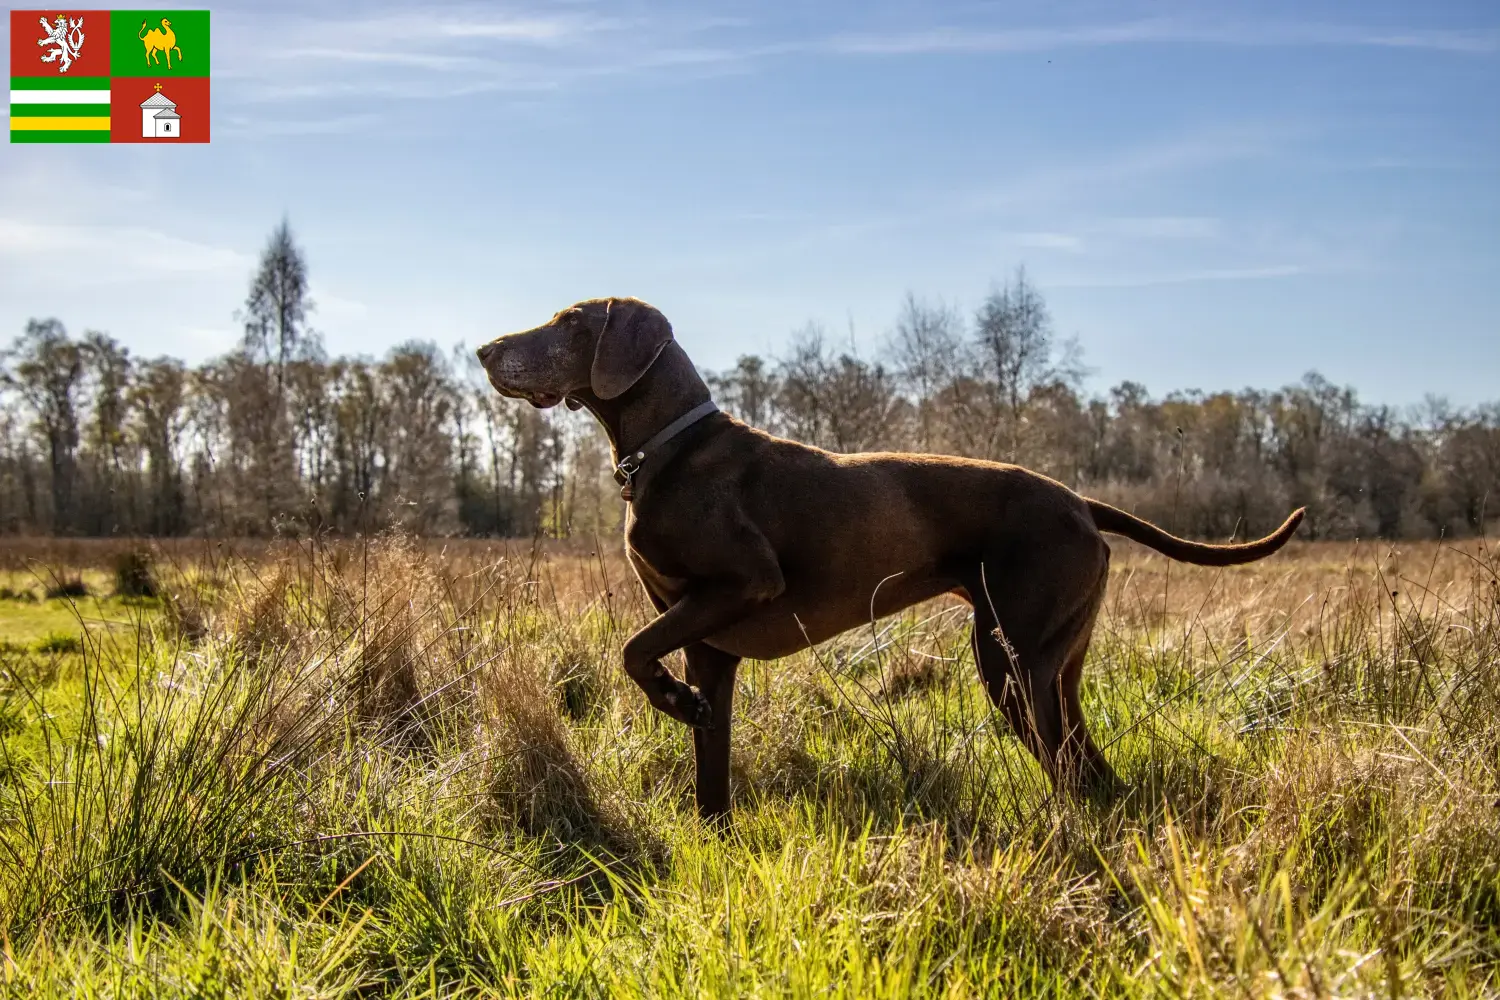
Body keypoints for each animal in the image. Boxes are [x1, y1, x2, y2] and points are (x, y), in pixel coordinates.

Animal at [477, 296, 1302, 821]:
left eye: (571, 322)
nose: (484, 349)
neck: (668, 449)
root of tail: (1078, 502)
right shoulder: (709, 644)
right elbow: (707, 768)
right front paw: (710, 830)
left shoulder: (740, 586)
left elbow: (631, 650)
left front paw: (673, 701)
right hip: (1054, 668)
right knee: (1089, 768)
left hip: (1013, 662)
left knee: (1069, 771)